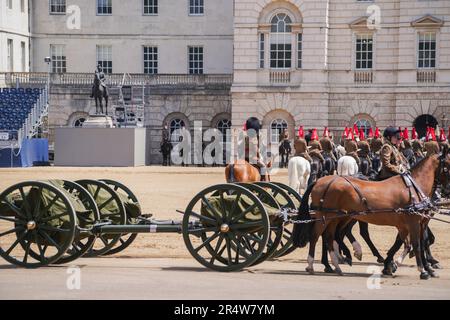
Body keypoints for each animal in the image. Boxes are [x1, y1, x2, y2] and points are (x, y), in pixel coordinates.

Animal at [294, 148, 448, 280]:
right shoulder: (413, 222)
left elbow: (413, 243)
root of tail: (319, 181)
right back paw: (313, 264)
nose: (444, 192)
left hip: (336, 217)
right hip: (325, 216)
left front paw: (394, 264)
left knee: (330, 236)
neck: (413, 188)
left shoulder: (412, 224)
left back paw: (336, 265)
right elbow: (417, 244)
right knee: (316, 236)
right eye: (447, 164)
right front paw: (422, 270)